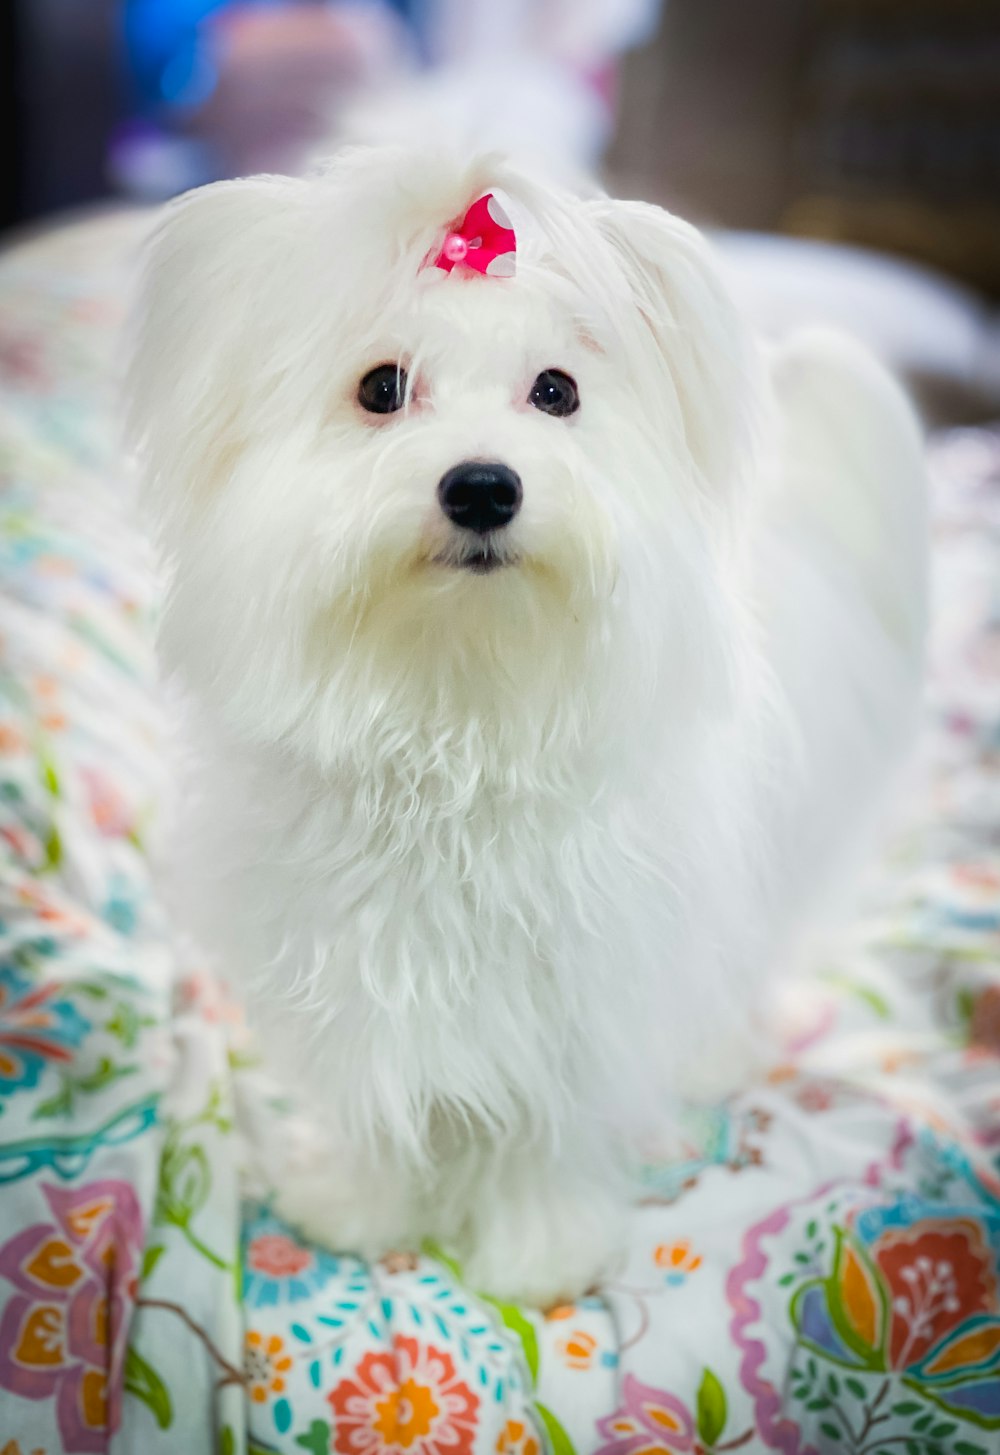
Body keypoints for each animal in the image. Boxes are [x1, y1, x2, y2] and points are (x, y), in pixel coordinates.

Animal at [127, 147, 931, 1309]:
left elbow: (549, 1129)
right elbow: (375, 1095)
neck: (461, 696)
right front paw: (362, 1205)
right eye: (382, 388)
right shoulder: (346, 959)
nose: (481, 485)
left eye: (557, 392)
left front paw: (539, 1252)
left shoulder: (585, 990)